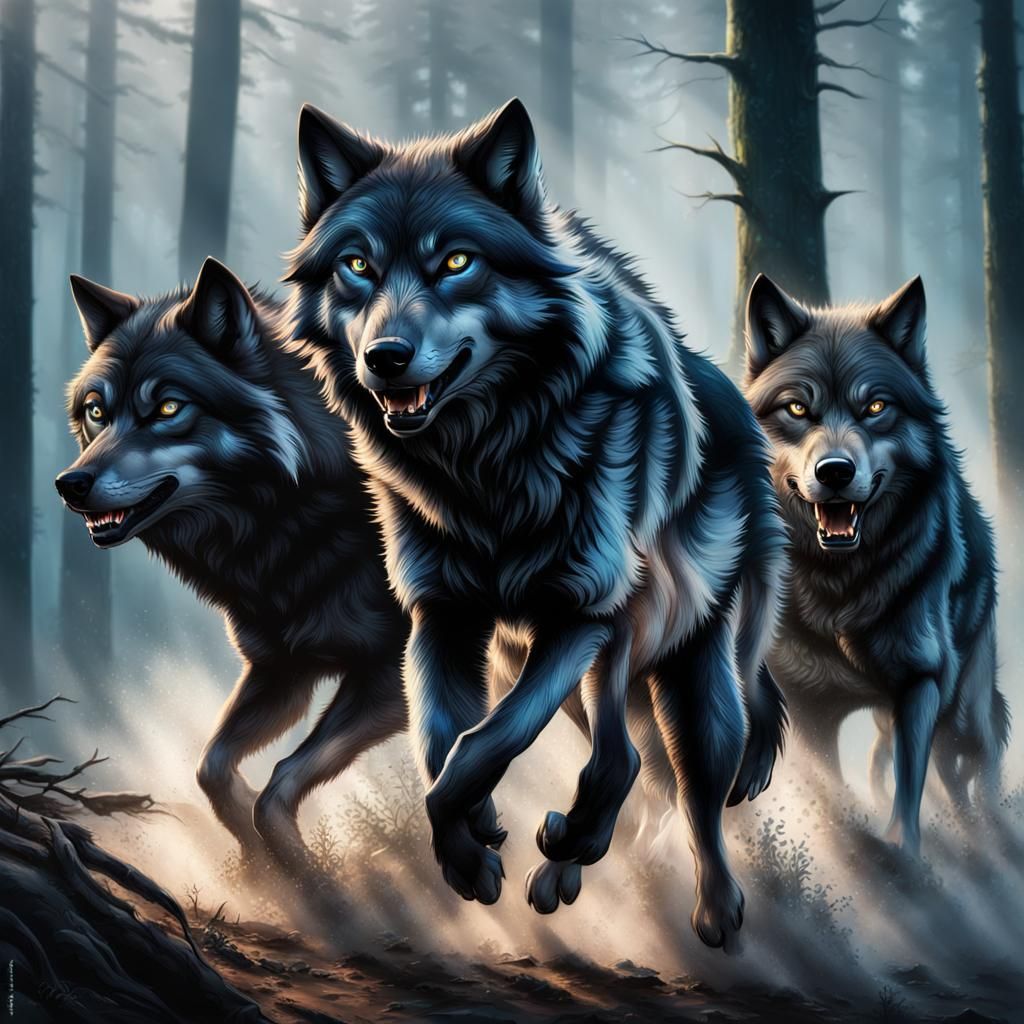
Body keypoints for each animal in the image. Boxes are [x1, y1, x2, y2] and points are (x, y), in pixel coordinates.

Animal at [56, 258, 409, 878]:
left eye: (168, 408)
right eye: (97, 411)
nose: (69, 484)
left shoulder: (390, 676)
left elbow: (281, 783)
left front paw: (308, 879)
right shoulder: (281, 670)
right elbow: (212, 768)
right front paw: (257, 862)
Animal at [285, 97, 789, 949]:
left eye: (456, 262)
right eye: (358, 266)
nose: (387, 356)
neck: (485, 469)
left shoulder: (579, 608)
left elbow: (484, 741)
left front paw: (473, 839)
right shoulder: (443, 615)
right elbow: (441, 741)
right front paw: (470, 849)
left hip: (680, 661)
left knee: (689, 784)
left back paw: (714, 910)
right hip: (591, 665)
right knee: (625, 760)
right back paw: (566, 864)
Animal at [743, 273, 1009, 854]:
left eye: (876, 407)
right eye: (798, 410)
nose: (835, 471)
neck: (842, 589)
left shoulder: (919, 683)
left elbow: (908, 794)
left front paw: (901, 856)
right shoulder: (810, 702)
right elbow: (832, 797)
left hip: (962, 711)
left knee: (979, 765)